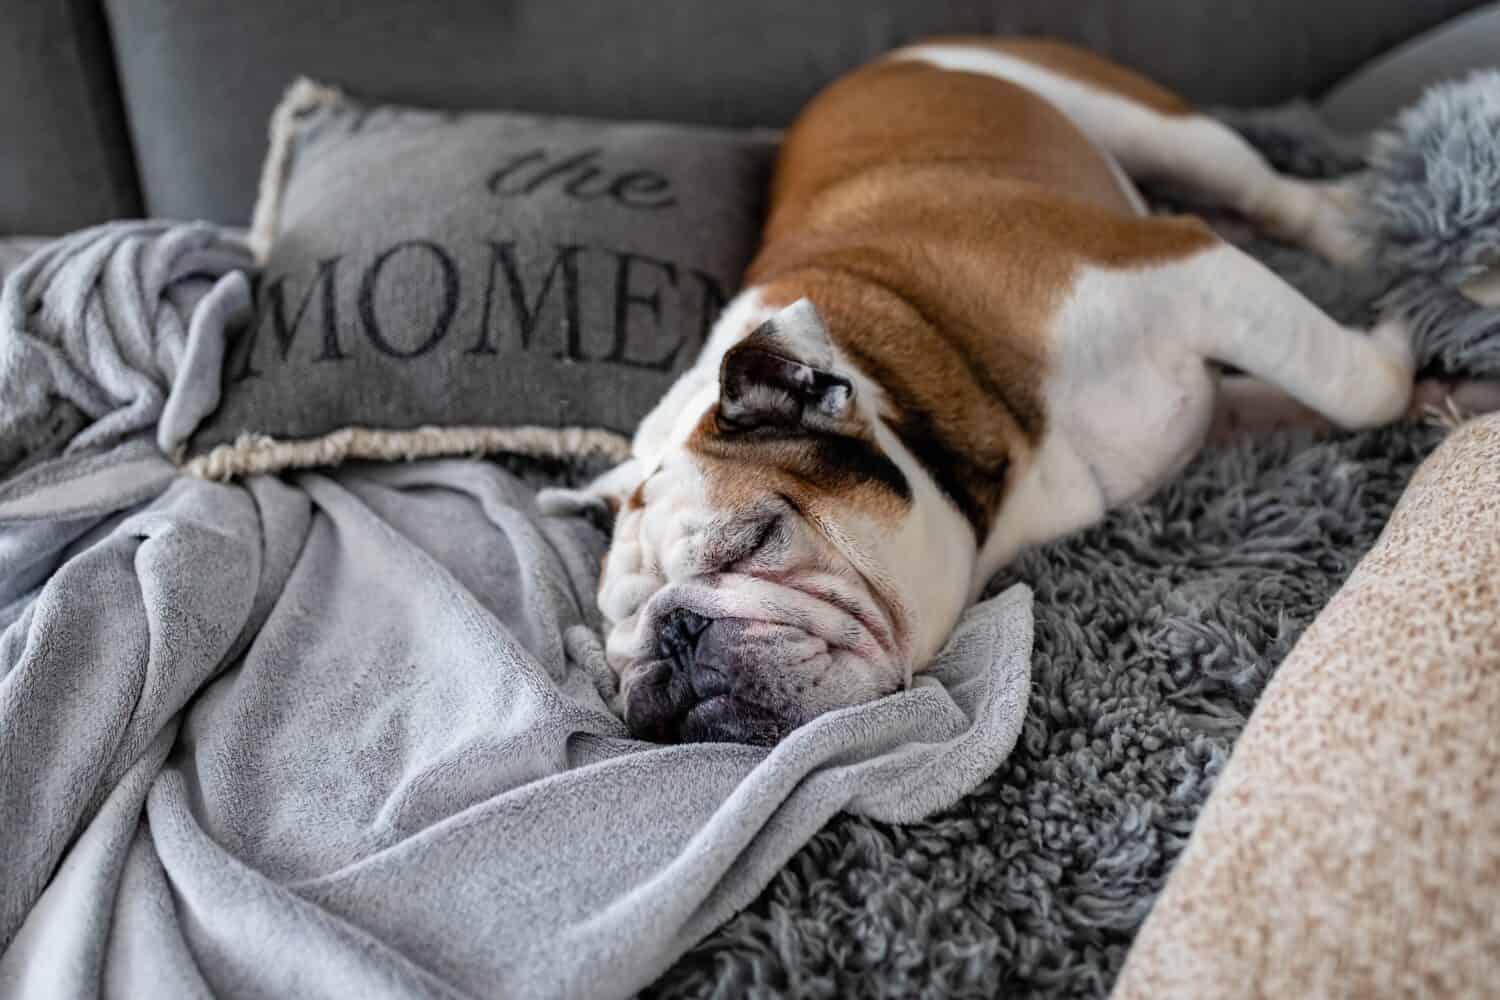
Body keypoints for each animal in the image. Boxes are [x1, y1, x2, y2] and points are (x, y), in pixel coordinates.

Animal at [543, 37, 1452, 743]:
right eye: (619, 627)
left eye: (756, 540)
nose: (673, 635)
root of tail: (890, 56)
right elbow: (1310, 397)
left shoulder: (1192, 271)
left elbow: (1355, 382)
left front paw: (1402, 330)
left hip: (1154, 125)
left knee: (1275, 194)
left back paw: (1369, 231)